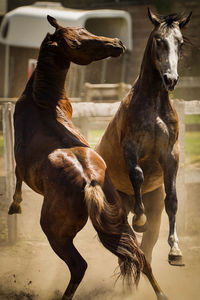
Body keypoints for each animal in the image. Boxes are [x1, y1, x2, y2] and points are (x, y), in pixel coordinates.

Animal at [7, 15, 167, 300]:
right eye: (78, 41)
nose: (117, 44)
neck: (42, 105)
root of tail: (89, 181)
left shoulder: (21, 167)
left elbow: (16, 181)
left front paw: (15, 206)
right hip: (120, 220)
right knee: (141, 257)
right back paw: (161, 294)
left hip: (56, 234)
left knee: (79, 266)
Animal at [96, 9, 191, 266]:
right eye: (159, 40)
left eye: (179, 42)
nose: (171, 79)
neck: (154, 106)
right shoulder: (131, 148)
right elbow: (137, 175)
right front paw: (139, 219)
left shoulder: (170, 155)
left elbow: (173, 199)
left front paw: (175, 250)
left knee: (148, 243)